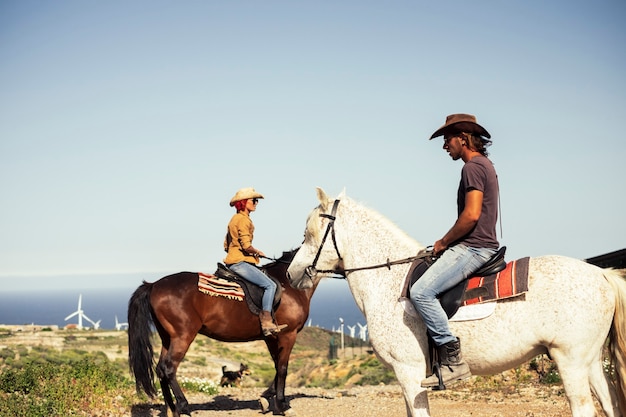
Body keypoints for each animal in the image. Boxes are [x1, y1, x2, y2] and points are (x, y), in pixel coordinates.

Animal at [127, 249, 314, 414]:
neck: (289, 283)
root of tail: (153, 285)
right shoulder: (288, 335)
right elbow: (282, 368)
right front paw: (282, 405)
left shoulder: (272, 337)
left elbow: (276, 366)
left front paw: (266, 398)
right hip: (182, 337)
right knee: (169, 368)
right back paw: (183, 406)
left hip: (167, 337)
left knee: (160, 369)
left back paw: (171, 409)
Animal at [286, 188, 624, 416]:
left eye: (309, 233)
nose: (291, 273)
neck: (390, 281)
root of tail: (601, 274)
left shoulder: (409, 373)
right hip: (591, 362)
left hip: (571, 361)